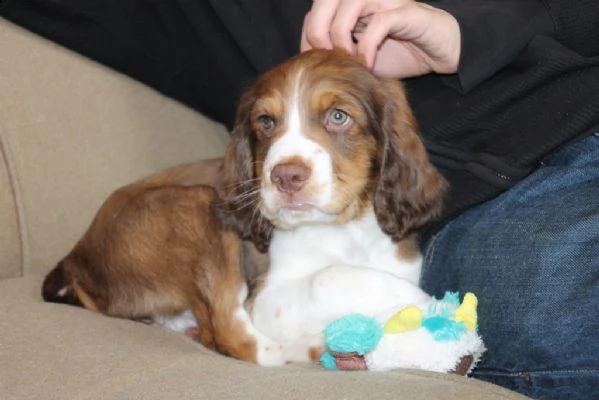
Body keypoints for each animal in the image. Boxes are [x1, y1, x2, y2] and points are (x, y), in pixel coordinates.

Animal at [41, 49, 446, 366]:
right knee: (232, 336)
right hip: (199, 205)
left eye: (338, 116)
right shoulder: (266, 300)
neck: (347, 231)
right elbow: (331, 276)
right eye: (265, 122)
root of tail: (75, 257)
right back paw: (314, 348)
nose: (285, 177)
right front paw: (429, 305)